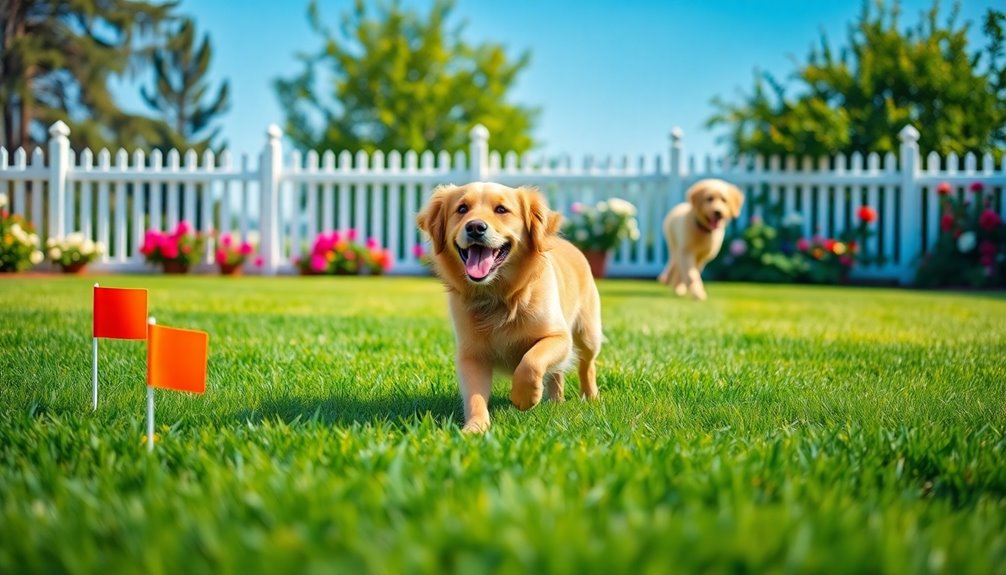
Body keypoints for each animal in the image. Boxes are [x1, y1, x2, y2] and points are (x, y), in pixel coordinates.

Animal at [414, 182, 599, 430]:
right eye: (462, 209)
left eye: (501, 210)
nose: (475, 227)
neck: (498, 296)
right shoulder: (472, 354)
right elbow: (474, 395)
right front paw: (475, 427)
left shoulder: (559, 337)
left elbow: (531, 361)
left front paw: (524, 397)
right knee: (558, 373)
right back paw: (556, 400)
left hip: (587, 334)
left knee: (587, 364)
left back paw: (590, 396)